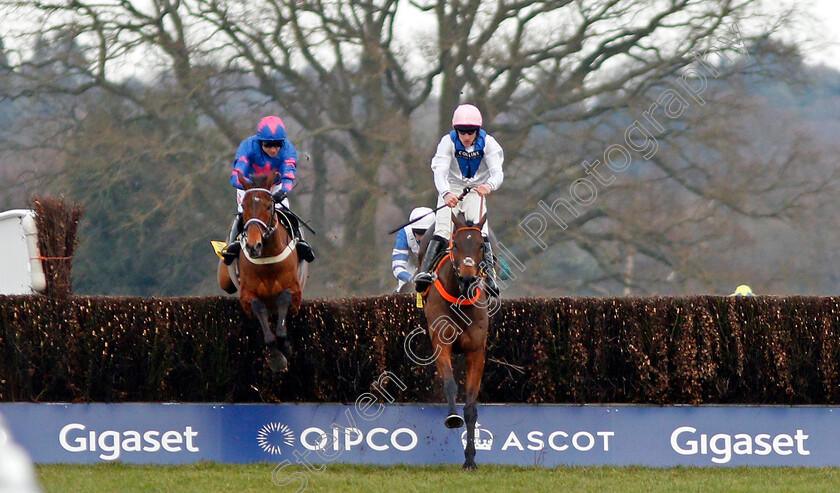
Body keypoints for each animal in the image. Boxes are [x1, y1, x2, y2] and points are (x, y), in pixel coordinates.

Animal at [217, 171, 306, 370]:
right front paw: (276, 358)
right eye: (244, 207)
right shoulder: (246, 294)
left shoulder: (295, 292)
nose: (253, 245)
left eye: (268, 206)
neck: (267, 261)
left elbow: (284, 298)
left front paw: (285, 347)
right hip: (224, 279)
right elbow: (258, 308)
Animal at [420, 210, 492, 468]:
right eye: (456, 244)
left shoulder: (476, 352)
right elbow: (450, 383)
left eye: (481, 245)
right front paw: (452, 417)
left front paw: (470, 459)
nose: (468, 279)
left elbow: (471, 406)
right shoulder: (441, 344)